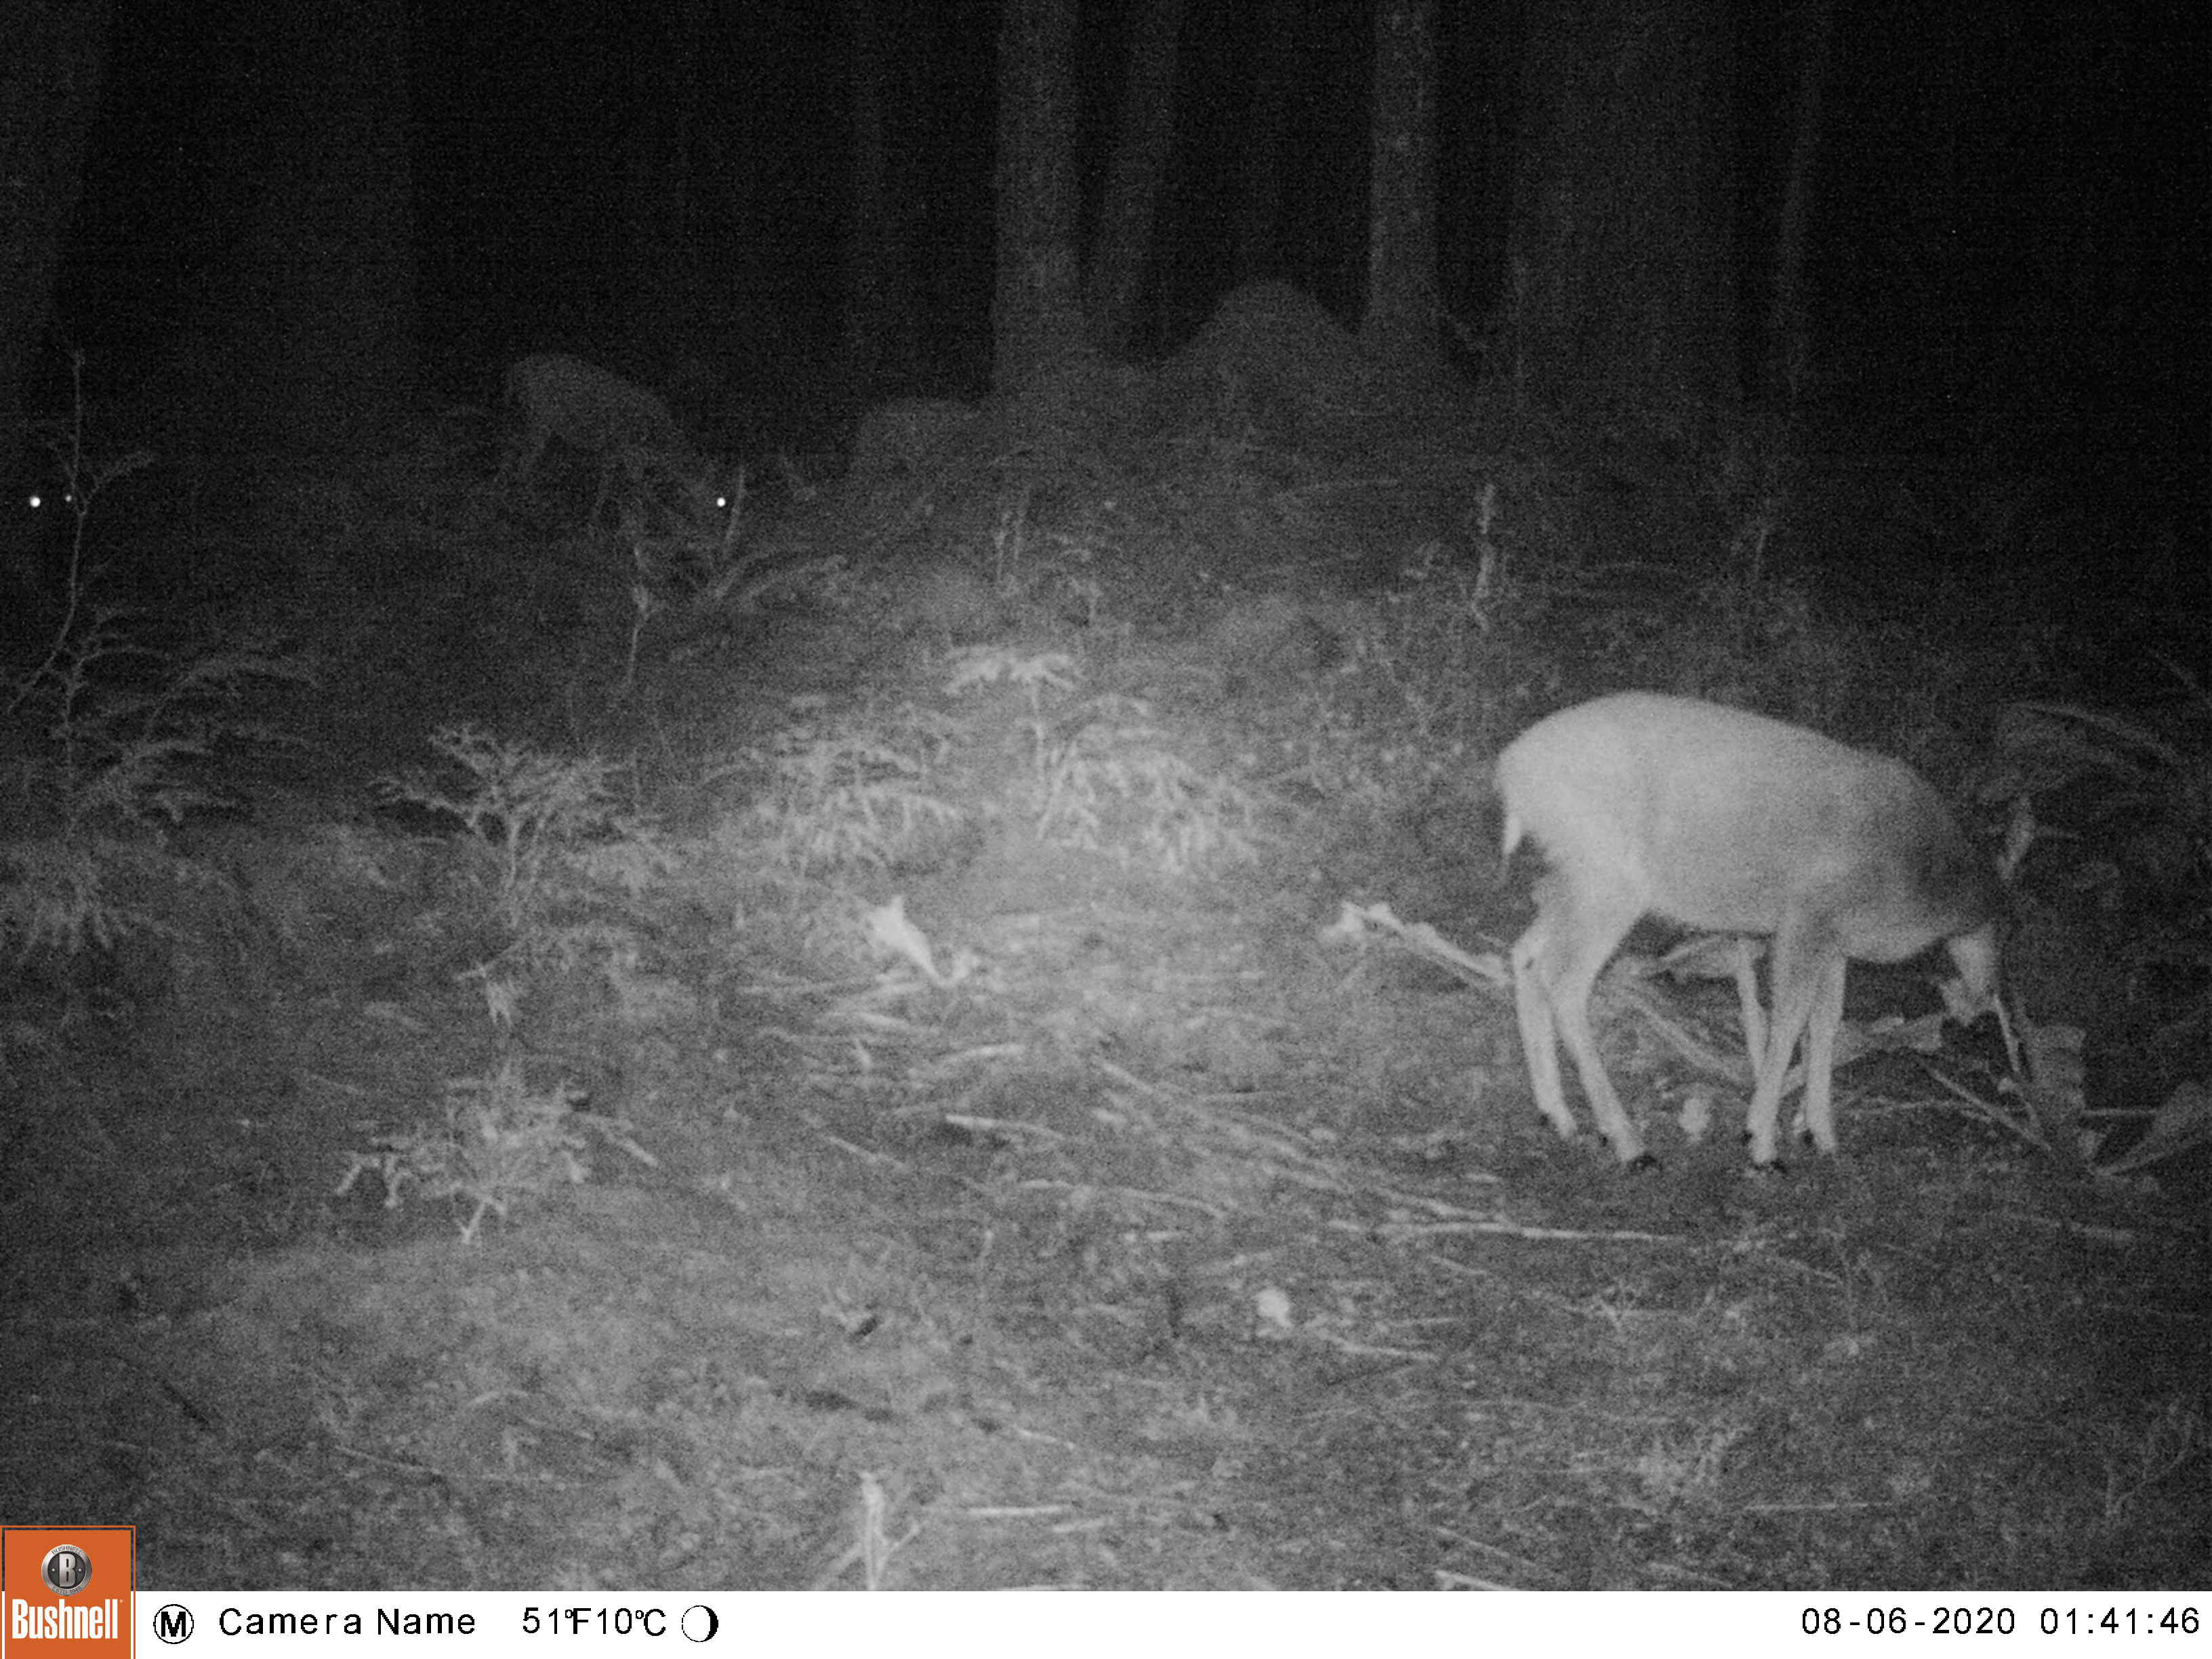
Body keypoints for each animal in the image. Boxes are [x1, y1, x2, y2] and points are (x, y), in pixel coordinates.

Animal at [1495, 692, 2008, 1169]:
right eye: (2000, 932)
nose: (1985, 999)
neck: (1919, 873)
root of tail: (1511, 774)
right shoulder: (1806, 916)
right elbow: (1788, 1018)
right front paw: (1761, 1141)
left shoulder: (1835, 939)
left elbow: (1825, 1022)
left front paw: (1821, 1134)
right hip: (1610, 880)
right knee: (1564, 981)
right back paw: (1627, 1141)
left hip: (1574, 875)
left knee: (1526, 954)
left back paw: (1558, 1115)